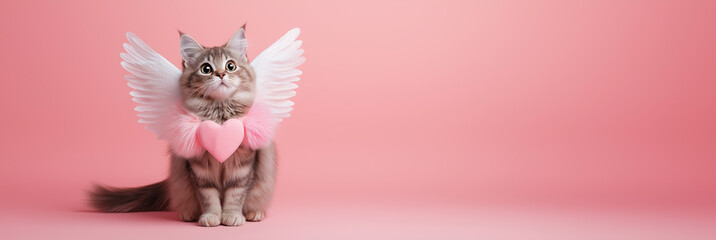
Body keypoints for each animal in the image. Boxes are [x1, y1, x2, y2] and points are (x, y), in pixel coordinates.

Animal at [91, 26, 276, 227]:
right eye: (206, 69)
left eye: (231, 66)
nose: (221, 74)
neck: (219, 115)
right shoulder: (200, 170)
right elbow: (208, 197)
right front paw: (211, 216)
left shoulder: (243, 167)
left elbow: (236, 194)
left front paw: (232, 215)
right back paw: (189, 214)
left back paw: (254, 213)